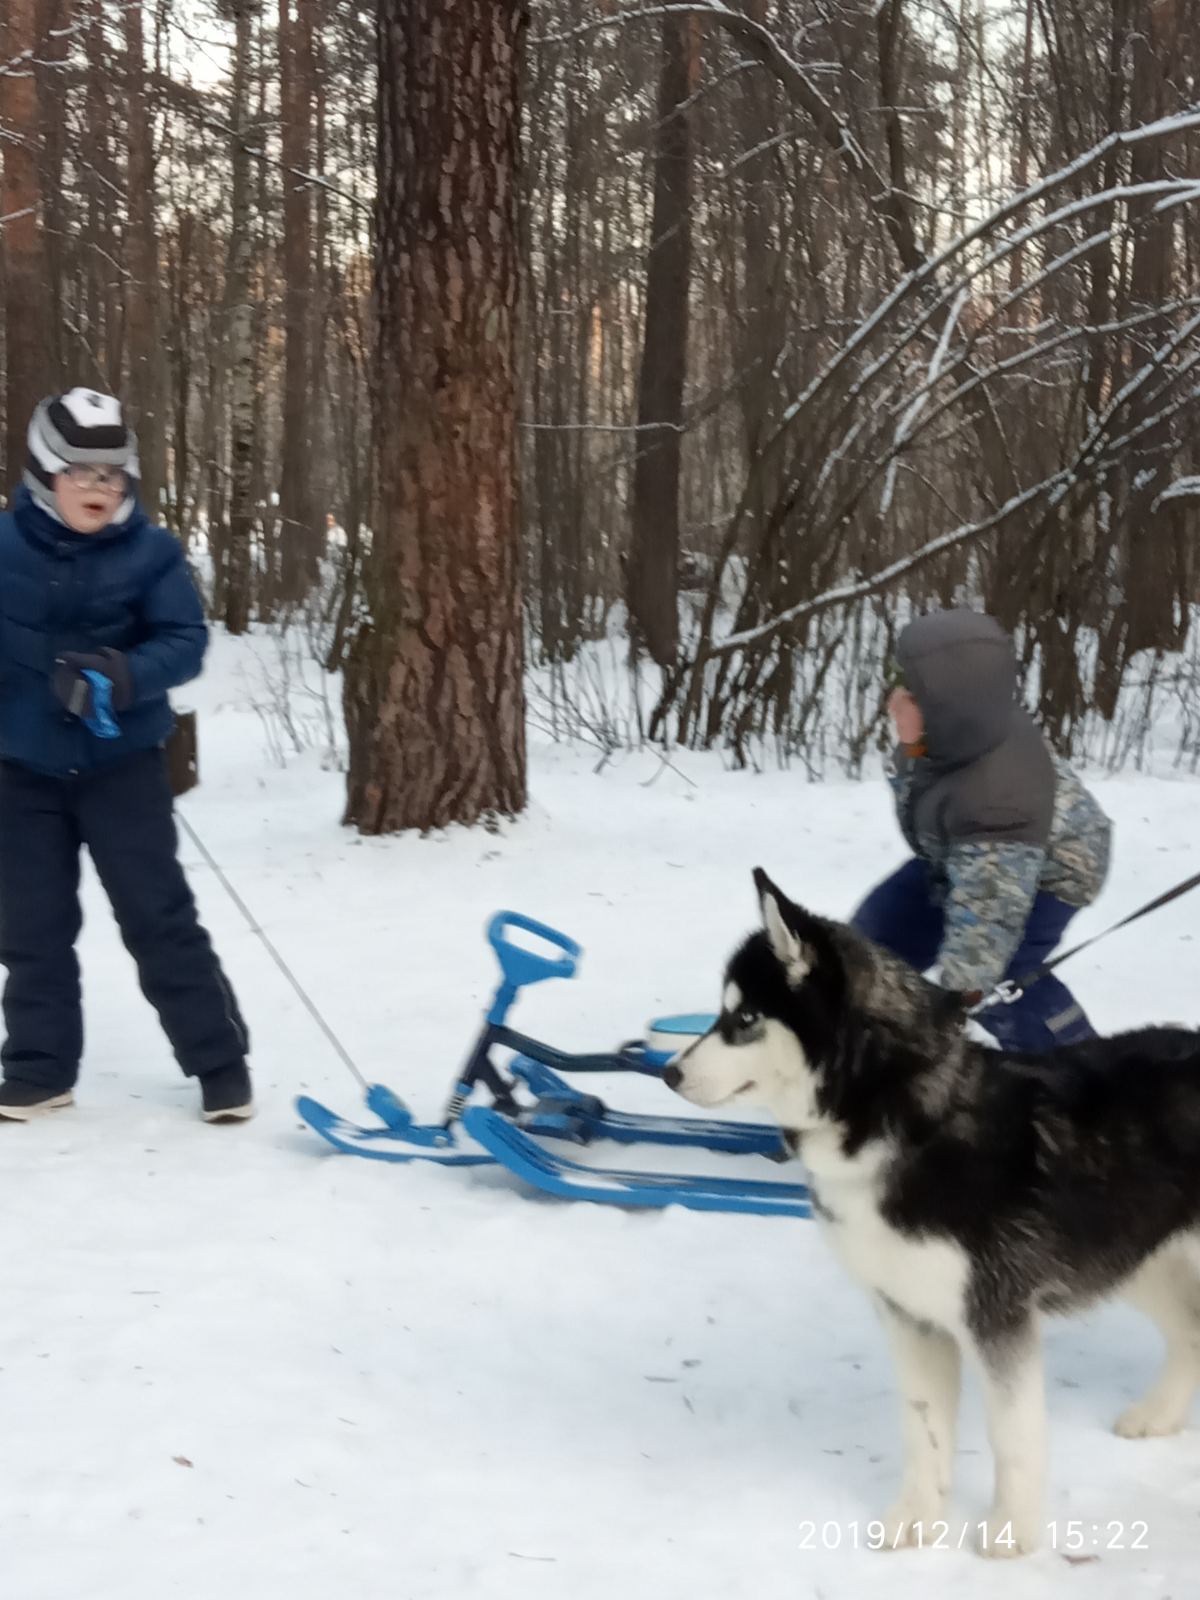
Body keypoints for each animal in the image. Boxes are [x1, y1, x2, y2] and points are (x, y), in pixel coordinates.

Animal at [662, 870, 1200, 1555]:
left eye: (745, 1017)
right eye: (724, 1012)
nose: (669, 1072)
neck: (897, 1116)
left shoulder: (996, 1315)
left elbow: (1012, 1436)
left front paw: (1009, 1535)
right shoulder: (908, 1313)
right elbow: (923, 1429)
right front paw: (915, 1521)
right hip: (1138, 1254)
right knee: (1190, 1331)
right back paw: (1158, 1415)